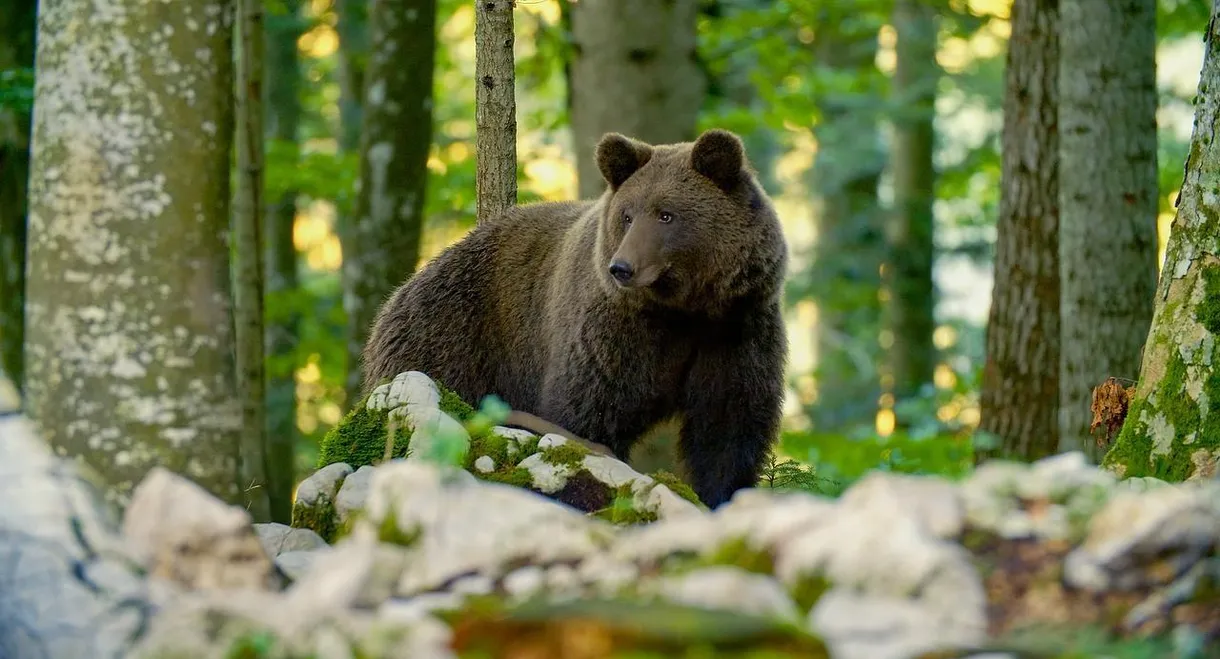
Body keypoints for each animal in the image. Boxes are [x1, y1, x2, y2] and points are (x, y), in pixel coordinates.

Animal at [358, 129, 790, 510]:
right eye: (627, 216)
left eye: (666, 214)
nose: (622, 267)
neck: (682, 310)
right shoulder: (613, 333)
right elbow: (586, 411)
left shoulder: (736, 330)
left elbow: (727, 427)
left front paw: (718, 494)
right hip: (452, 332)